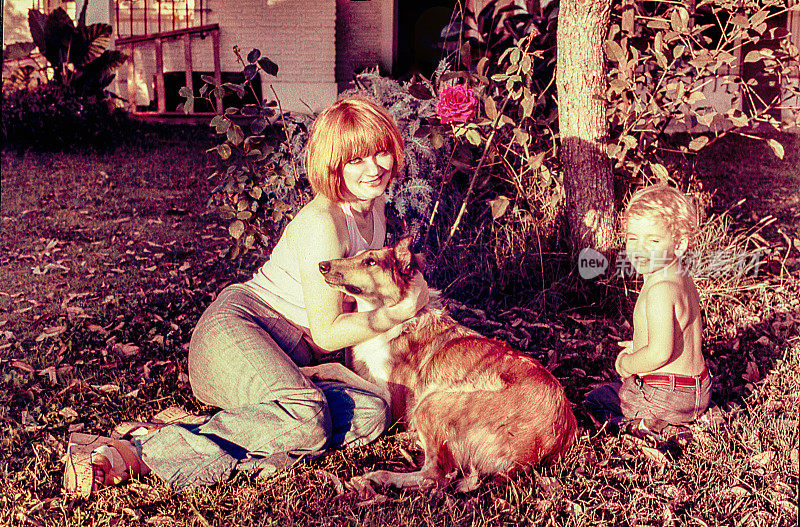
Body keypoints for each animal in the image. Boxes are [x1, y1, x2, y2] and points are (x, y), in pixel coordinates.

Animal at [312, 237, 576, 492]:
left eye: (370, 262)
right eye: (356, 256)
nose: (321, 265)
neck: (387, 318)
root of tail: (558, 434)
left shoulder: (391, 402)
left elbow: (335, 367)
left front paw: (311, 372)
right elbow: (342, 367)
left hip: (432, 403)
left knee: (435, 476)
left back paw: (380, 476)